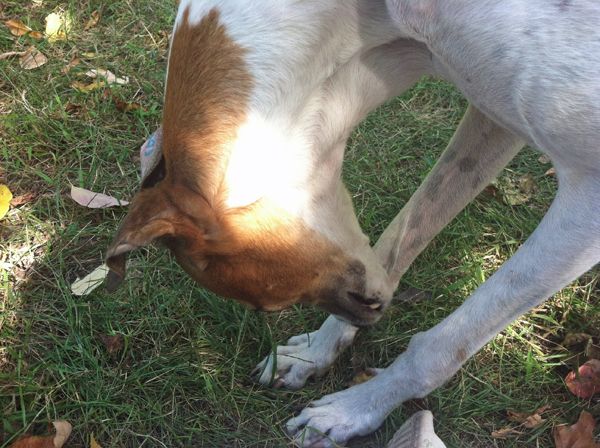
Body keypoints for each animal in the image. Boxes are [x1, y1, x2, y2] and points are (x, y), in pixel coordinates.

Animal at [108, 0, 600, 446]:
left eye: (271, 306)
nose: (374, 315)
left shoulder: (586, 201)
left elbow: (445, 341)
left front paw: (351, 410)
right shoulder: (491, 115)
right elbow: (401, 234)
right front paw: (312, 355)